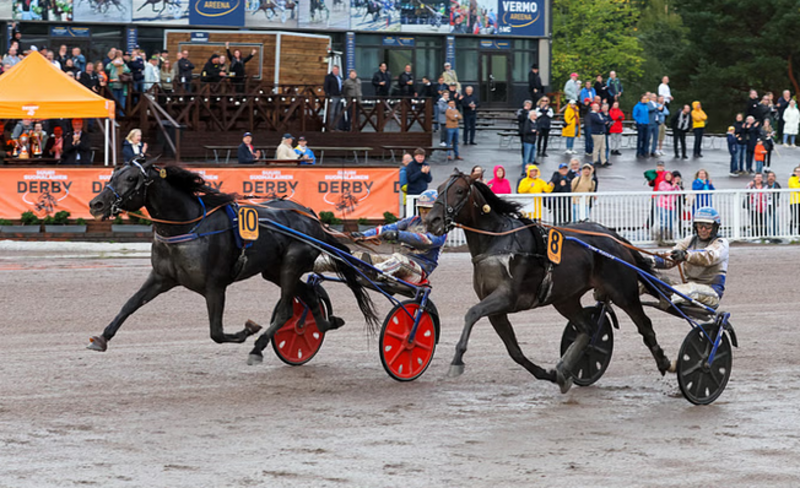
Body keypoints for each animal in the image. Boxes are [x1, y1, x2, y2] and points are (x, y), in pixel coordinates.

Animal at [88, 158, 378, 364]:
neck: (189, 225)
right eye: (112, 175)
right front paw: (101, 338)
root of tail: (311, 215)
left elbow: (216, 333)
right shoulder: (161, 277)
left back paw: (259, 347)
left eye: (131, 178)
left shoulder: (215, 286)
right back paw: (325, 324)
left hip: (291, 264)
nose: (96, 204)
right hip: (274, 270)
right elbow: (129, 305)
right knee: (310, 295)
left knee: (286, 310)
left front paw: (248, 331)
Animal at [424, 172, 676, 392]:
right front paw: (551, 375)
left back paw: (665, 362)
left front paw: (457, 360)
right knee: (587, 329)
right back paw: (564, 370)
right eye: (439, 188)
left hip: (622, 291)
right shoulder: (497, 309)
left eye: (459, 190)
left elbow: (472, 313)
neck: (498, 242)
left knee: (645, 325)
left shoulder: (506, 297)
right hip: (565, 298)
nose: (431, 220)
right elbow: (514, 351)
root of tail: (613, 237)